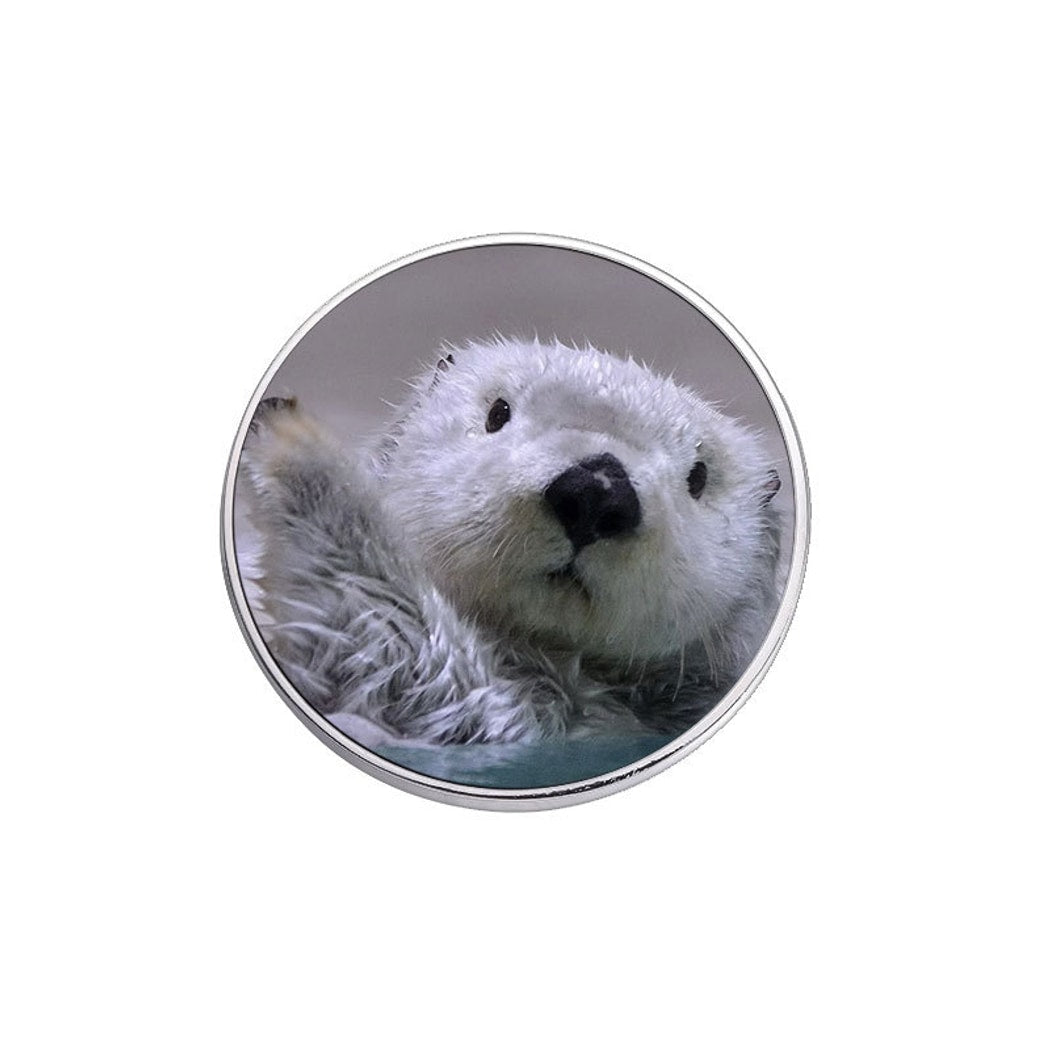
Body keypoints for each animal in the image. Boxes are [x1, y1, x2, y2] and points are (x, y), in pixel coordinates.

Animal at [237, 337, 782, 747]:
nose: (596, 491)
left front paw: (298, 445)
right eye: (498, 413)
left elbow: (405, 654)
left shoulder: (556, 712)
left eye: (699, 477)